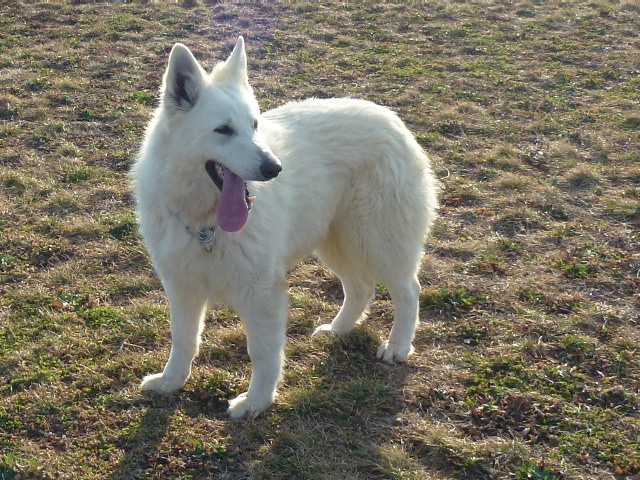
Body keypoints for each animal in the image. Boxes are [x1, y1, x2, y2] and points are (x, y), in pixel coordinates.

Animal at [132, 37, 438, 418]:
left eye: (254, 125)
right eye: (223, 130)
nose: (275, 168)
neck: (206, 222)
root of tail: (391, 118)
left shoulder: (262, 294)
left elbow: (262, 353)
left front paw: (256, 403)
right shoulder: (182, 287)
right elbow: (183, 341)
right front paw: (170, 382)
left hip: (378, 243)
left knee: (408, 291)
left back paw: (397, 346)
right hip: (336, 243)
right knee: (361, 288)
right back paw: (338, 329)